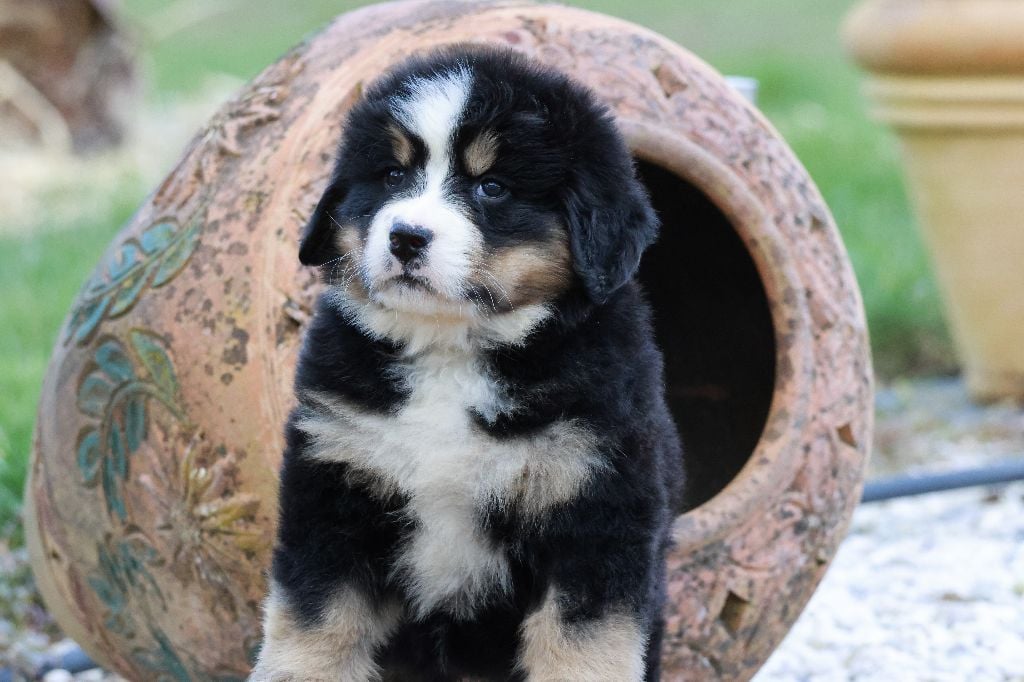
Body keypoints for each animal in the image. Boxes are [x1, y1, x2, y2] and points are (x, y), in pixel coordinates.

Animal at [253, 45, 688, 675]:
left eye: (493, 187)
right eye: (392, 175)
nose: (406, 237)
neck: (450, 351)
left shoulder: (595, 505)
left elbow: (584, 643)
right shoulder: (334, 489)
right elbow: (316, 622)